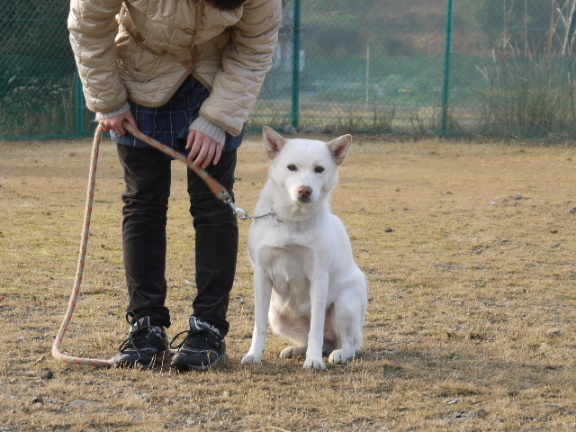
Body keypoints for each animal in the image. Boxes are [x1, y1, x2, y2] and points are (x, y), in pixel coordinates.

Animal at [240, 126, 366, 370]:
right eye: (292, 167)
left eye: (319, 169)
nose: (304, 191)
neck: (292, 220)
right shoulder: (261, 276)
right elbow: (259, 325)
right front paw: (254, 355)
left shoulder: (318, 277)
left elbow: (315, 327)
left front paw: (314, 360)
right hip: (277, 315)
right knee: (313, 340)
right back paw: (296, 349)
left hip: (344, 304)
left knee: (347, 343)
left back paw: (339, 353)